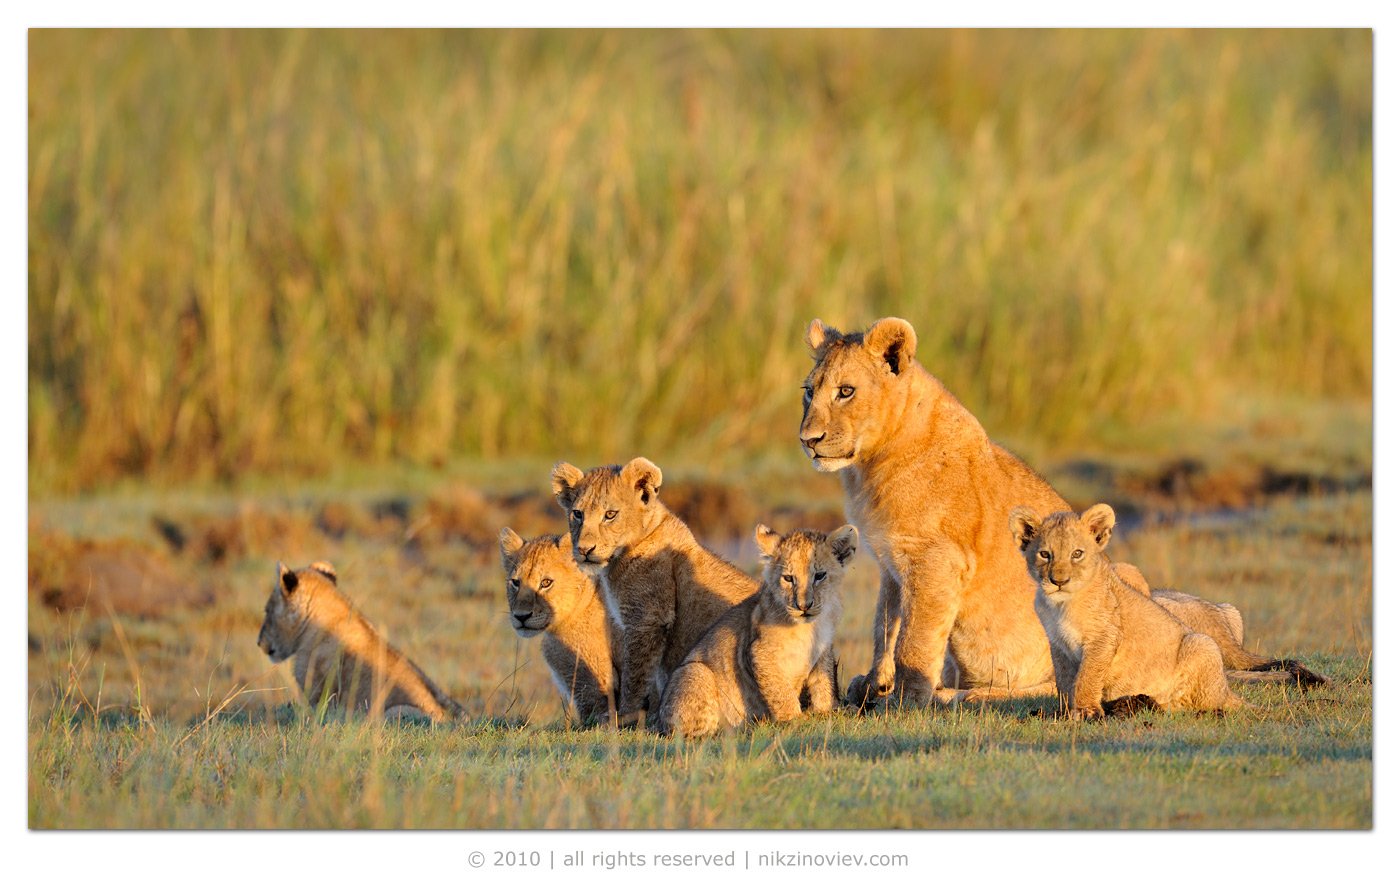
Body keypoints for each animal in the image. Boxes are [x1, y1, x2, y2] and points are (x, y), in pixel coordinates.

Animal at [551, 456, 761, 728]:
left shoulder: (647, 619)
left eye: (610, 515)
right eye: (577, 514)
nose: (585, 550)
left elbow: (636, 674)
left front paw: (624, 717)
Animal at [655, 526, 851, 739]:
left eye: (820, 575)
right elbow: (780, 691)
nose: (803, 606)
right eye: (788, 578)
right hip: (696, 671)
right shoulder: (759, 651)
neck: (811, 626)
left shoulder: (823, 650)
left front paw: (826, 711)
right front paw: (794, 719)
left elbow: (823, 683)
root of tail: (657, 722)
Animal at [1008, 504, 1248, 716]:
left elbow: (1087, 676)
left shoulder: (1104, 635)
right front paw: (1065, 712)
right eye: (1045, 554)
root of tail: (1228, 691)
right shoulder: (1058, 643)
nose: (1058, 581)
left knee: (1202, 704)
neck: (1060, 605)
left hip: (1202, 643)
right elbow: (1065, 680)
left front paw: (1086, 711)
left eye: (1077, 553)